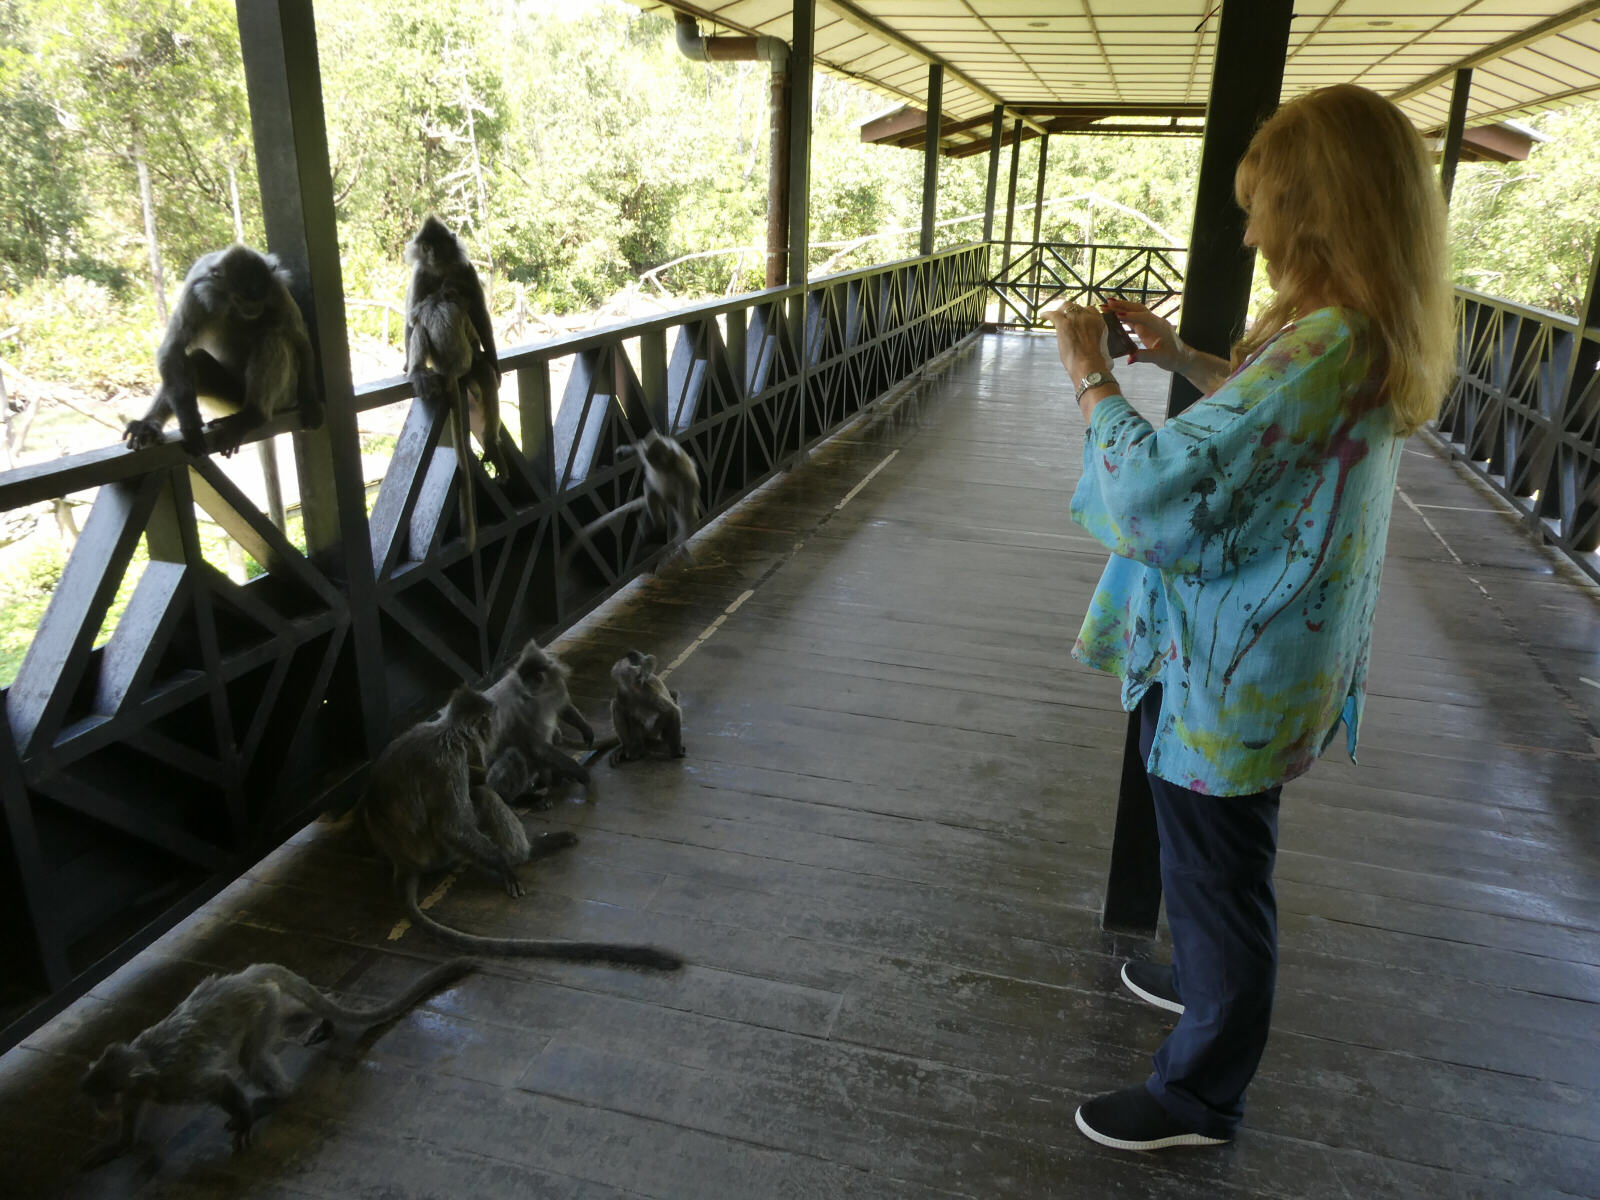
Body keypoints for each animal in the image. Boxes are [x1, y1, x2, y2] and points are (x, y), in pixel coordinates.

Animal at [81, 953, 467, 1171]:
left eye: (103, 1098)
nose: (98, 1110)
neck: (144, 1061)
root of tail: (243, 977)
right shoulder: (143, 1086)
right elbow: (132, 1111)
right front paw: (119, 1143)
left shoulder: (174, 1079)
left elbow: (218, 1082)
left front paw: (244, 1119)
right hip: (265, 1001)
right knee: (284, 1010)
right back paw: (324, 1015)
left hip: (258, 1004)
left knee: (251, 1057)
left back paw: (279, 1094)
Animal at [122, 243, 321, 454]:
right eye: (240, 298)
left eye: (259, 298)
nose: (253, 309)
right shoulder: (195, 291)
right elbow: (172, 349)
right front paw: (190, 425)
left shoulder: (277, 290)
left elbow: (300, 338)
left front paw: (311, 404)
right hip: (231, 397)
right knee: (195, 361)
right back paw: (148, 425)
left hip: (283, 395)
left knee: (273, 337)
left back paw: (253, 414)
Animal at [360, 684, 684, 979]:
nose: (490, 731)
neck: (444, 731)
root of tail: (403, 862)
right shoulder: (447, 758)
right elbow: (453, 826)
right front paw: (505, 865)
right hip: (438, 854)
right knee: (482, 795)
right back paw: (530, 850)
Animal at [403, 217, 496, 553]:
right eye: (425, 245)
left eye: (439, 244)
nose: (430, 253)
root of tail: (450, 368)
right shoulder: (422, 275)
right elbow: (410, 316)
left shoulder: (464, 271)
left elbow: (479, 311)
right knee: (418, 324)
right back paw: (417, 371)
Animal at [560, 428, 704, 576]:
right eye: (651, 459)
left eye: (658, 461)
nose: (647, 460)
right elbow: (640, 447)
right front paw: (627, 450)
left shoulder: (682, 476)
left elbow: (687, 511)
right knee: (651, 491)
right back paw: (655, 524)